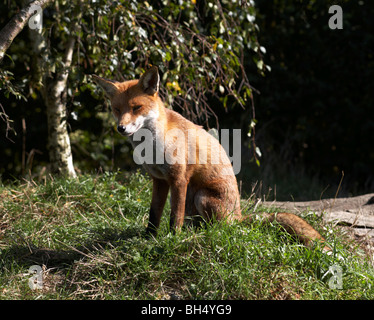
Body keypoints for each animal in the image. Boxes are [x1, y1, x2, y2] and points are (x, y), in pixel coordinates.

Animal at [93, 67, 330, 252]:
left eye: (136, 108)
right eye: (117, 109)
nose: (121, 128)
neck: (152, 147)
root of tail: (239, 215)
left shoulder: (179, 179)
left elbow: (174, 216)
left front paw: (172, 240)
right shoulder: (159, 180)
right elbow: (154, 215)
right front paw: (148, 238)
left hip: (201, 196)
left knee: (224, 229)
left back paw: (206, 234)